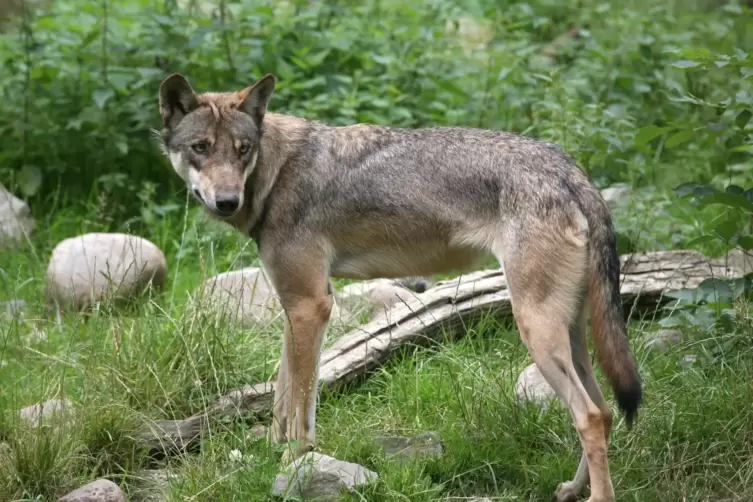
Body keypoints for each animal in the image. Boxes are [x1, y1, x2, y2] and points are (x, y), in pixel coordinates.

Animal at [157, 71, 640, 502]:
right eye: (201, 148)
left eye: (243, 151)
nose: (227, 201)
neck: (276, 173)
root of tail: (572, 173)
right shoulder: (295, 307)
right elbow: (281, 394)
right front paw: (274, 454)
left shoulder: (312, 305)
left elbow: (300, 407)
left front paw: (294, 463)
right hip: (568, 334)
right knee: (606, 411)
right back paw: (572, 490)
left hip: (537, 332)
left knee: (589, 415)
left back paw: (597, 497)